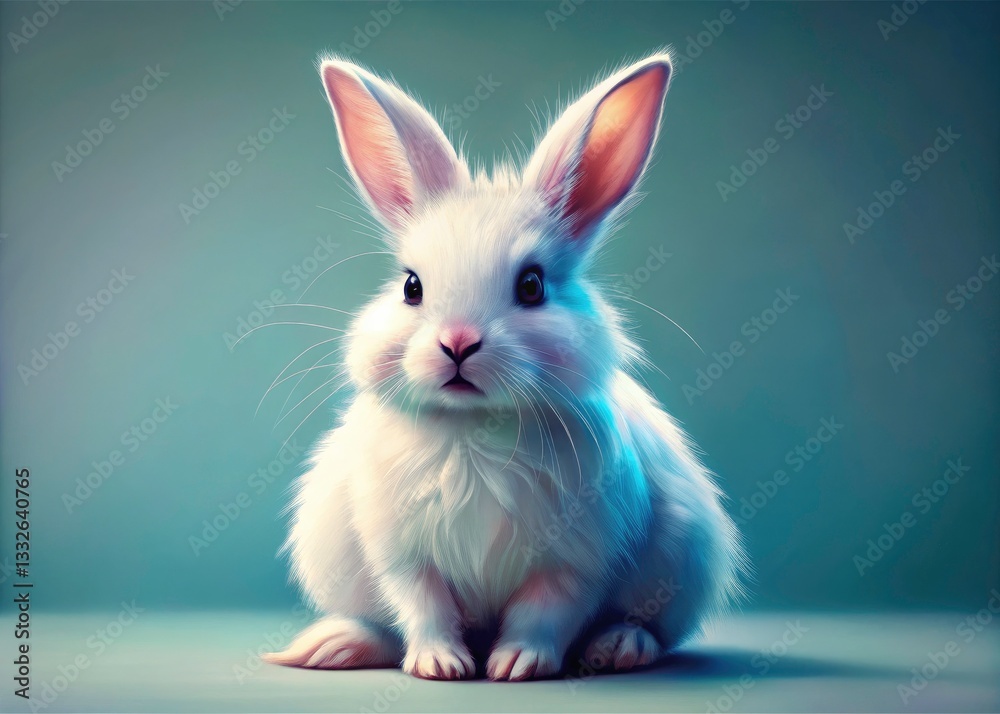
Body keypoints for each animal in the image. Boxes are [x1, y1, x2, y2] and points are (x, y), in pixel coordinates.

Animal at [263, 50, 746, 681]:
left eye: (533, 285)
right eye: (411, 286)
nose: (458, 342)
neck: (474, 427)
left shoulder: (576, 559)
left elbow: (545, 611)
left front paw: (518, 664)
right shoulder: (401, 552)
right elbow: (421, 605)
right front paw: (440, 665)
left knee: (650, 628)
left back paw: (617, 647)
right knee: (379, 624)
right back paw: (333, 645)